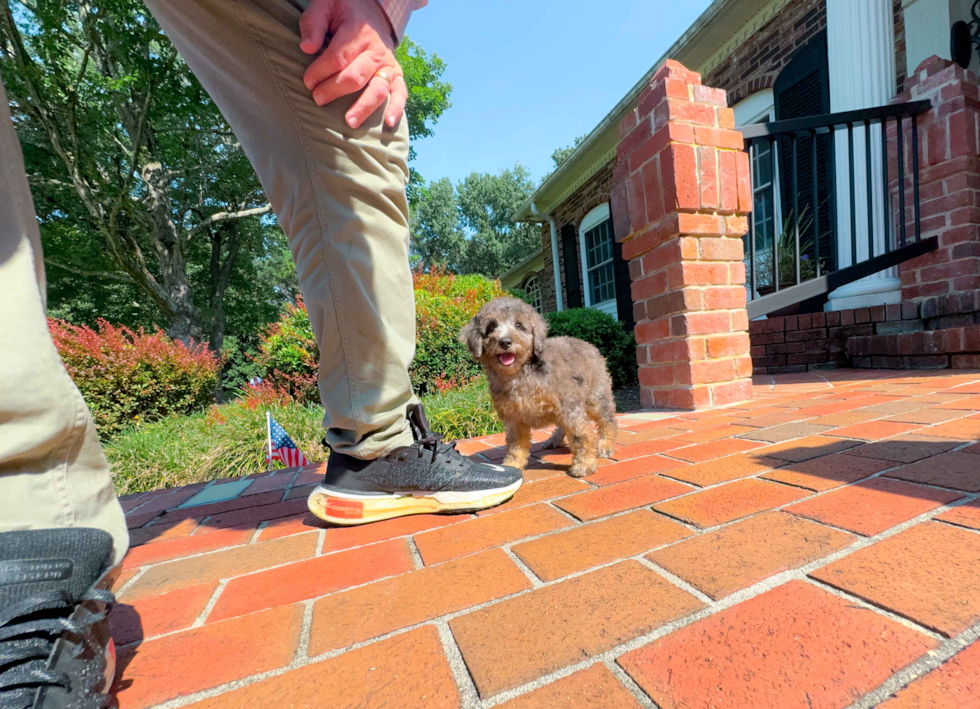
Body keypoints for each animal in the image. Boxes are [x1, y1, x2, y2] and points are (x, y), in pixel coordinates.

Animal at [458, 296, 612, 478]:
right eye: (491, 327)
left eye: (519, 325)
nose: (505, 342)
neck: (519, 375)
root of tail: (588, 344)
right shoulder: (514, 418)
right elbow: (515, 444)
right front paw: (512, 465)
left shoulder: (569, 407)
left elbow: (580, 435)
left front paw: (584, 464)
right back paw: (554, 440)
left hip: (596, 397)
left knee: (608, 421)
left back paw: (605, 445)